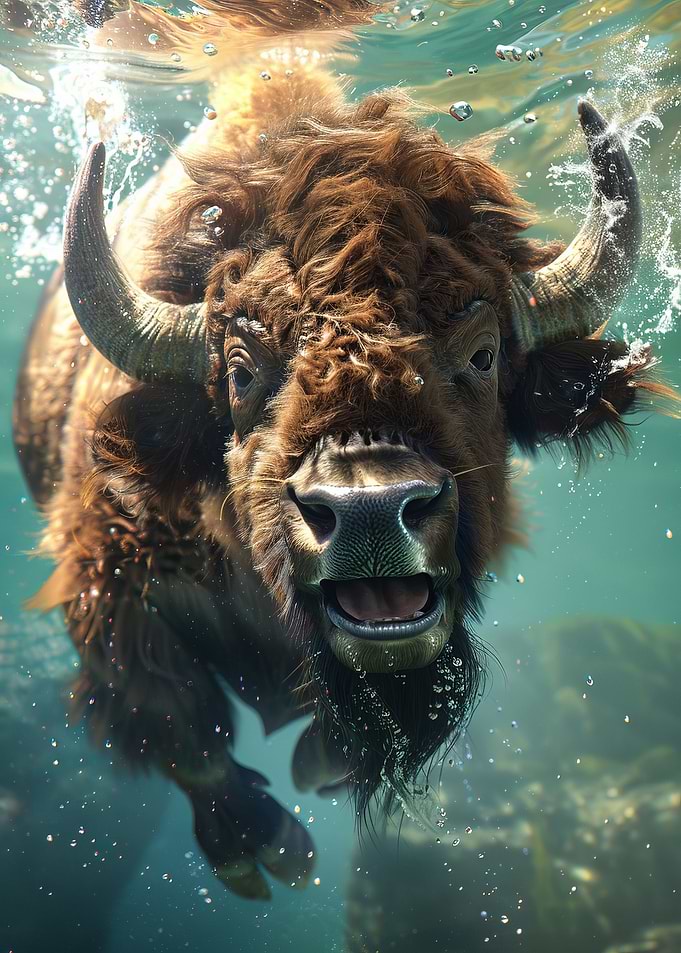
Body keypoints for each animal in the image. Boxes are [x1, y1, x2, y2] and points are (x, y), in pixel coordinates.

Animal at [13, 0, 673, 901]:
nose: (368, 514)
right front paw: (266, 850)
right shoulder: (108, 585)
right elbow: (182, 724)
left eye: (481, 354)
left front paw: (315, 772)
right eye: (240, 368)